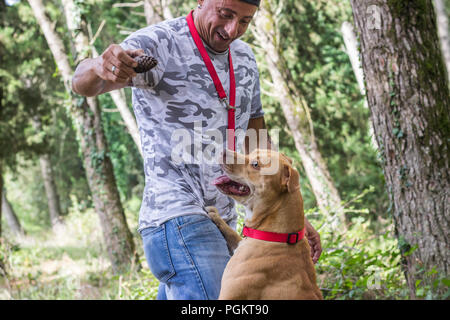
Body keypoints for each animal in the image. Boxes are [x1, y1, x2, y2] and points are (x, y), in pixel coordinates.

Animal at [209, 149, 322, 298]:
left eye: (256, 164)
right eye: (251, 152)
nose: (222, 151)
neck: (276, 236)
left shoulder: (229, 295)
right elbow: (232, 233)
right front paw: (216, 217)